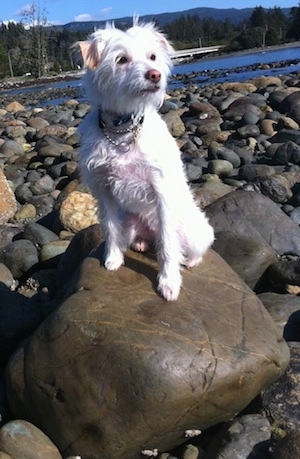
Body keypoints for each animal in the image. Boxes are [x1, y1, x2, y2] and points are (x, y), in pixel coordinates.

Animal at [77, 20, 213, 302]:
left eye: (152, 56)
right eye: (121, 59)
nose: (154, 75)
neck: (122, 128)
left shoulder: (161, 191)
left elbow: (168, 246)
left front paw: (169, 282)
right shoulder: (103, 190)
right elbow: (109, 227)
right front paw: (113, 259)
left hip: (194, 233)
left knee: (187, 247)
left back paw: (190, 261)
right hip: (130, 223)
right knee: (138, 237)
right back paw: (140, 243)